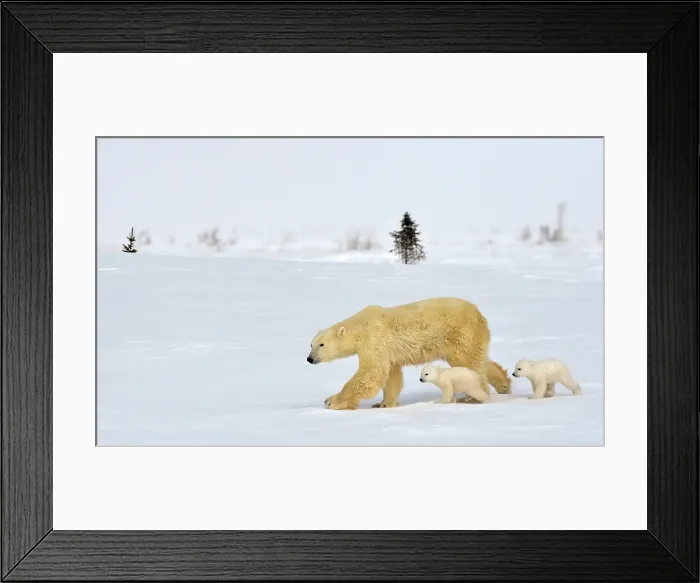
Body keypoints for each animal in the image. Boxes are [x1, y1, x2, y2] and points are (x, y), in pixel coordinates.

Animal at [306, 297, 506, 410]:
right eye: (310, 344)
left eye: (321, 344)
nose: (309, 358)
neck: (361, 326)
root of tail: (479, 314)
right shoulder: (388, 353)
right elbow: (391, 376)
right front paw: (383, 404)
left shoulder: (374, 341)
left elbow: (370, 373)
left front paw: (332, 401)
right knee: (479, 359)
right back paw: (504, 384)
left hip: (461, 334)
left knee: (469, 362)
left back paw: (473, 398)